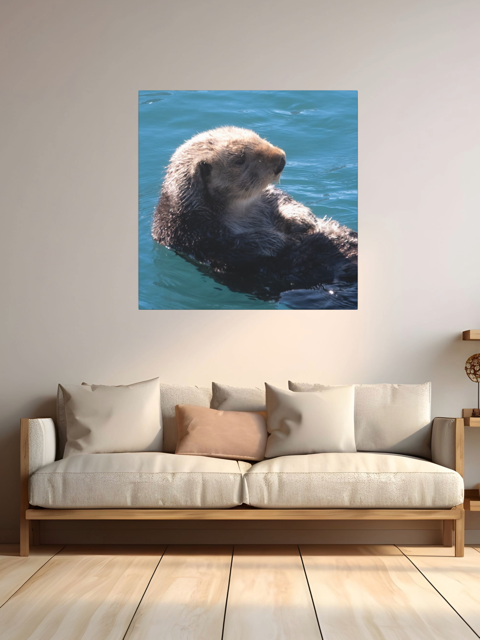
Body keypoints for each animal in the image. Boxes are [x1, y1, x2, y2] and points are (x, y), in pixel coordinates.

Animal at [152, 126, 357, 295]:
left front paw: (302, 219)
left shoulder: (266, 198)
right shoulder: (194, 234)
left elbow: (283, 199)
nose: (281, 160)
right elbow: (234, 247)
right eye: (240, 159)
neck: (240, 207)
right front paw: (278, 240)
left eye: (258, 136)